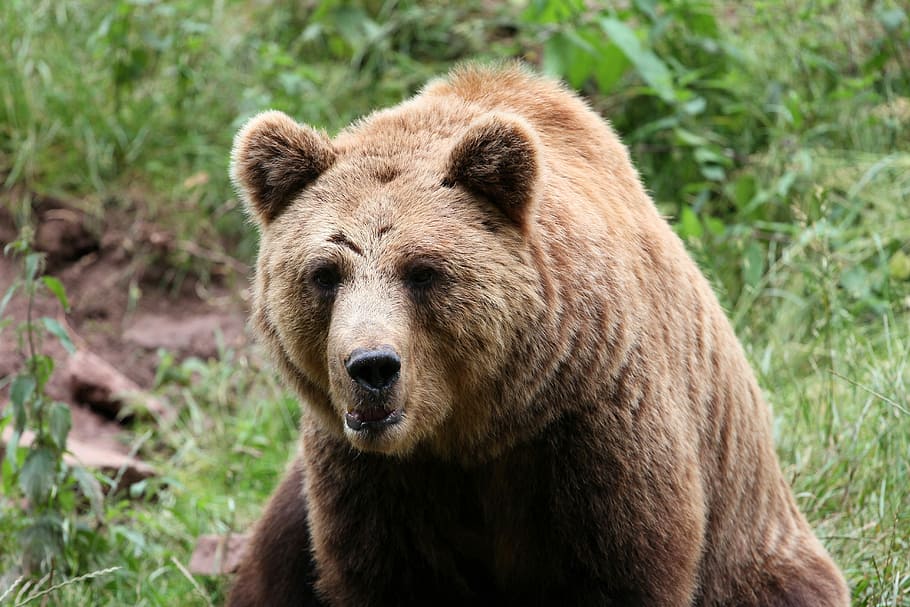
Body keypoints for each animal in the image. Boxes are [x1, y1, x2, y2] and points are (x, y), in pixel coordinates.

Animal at [226, 64, 849, 606]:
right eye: (325, 274)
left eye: (423, 270)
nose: (371, 366)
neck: (473, 427)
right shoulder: (371, 478)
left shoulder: (589, 424)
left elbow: (619, 569)